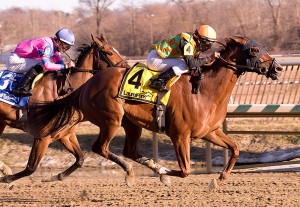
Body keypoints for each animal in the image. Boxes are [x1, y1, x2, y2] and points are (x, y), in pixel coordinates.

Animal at [0, 33, 127, 181]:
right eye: (109, 52)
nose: (126, 68)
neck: (63, 92)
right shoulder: (42, 136)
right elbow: (30, 168)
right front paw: (7, 179)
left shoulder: (65, 133)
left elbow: (80, 158)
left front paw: (57, 176)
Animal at [14, 36, 284, 188]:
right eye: (254, 51)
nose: (278, 68)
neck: (205, 90)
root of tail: (87, 85)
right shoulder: (180, 136)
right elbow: (185, 171)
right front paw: (164, 173)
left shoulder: (209, 132)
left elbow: (235, 148)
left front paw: (219, 178)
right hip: (111, 119)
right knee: (100, 148)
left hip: (129, 123)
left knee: (128, 151)